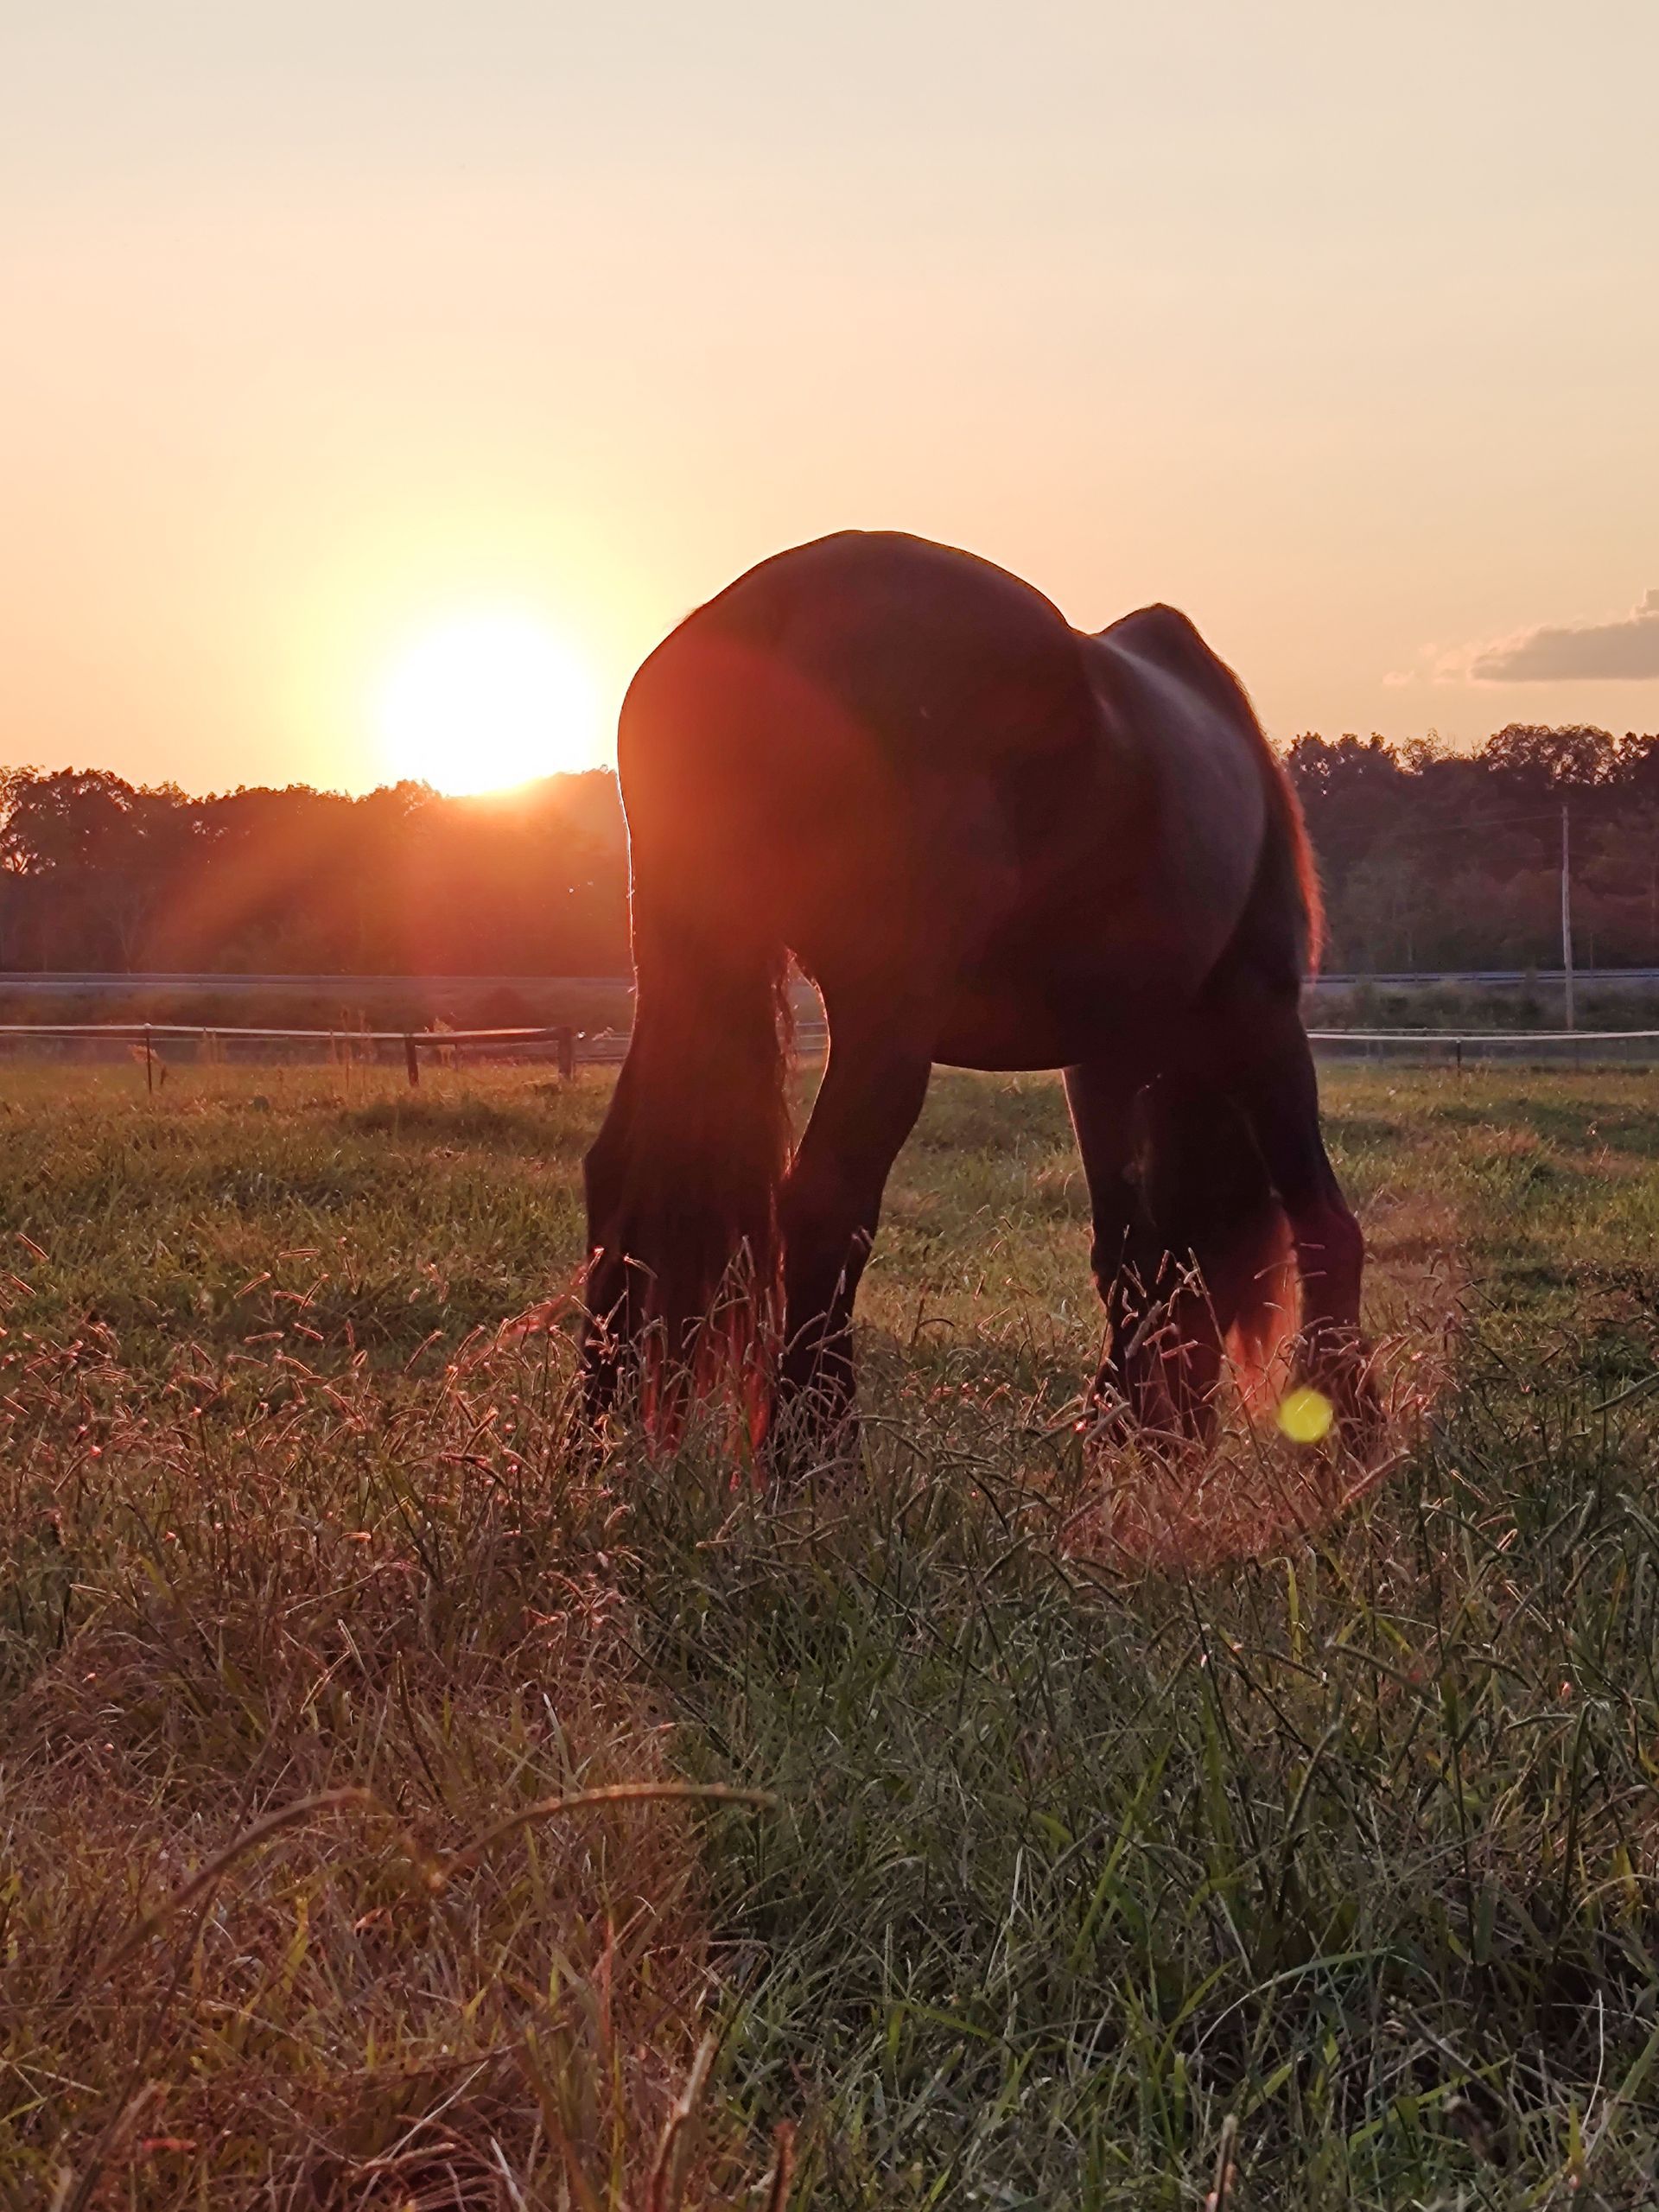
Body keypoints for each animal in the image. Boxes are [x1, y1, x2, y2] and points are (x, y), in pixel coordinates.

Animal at [581, 530, 1376, 1452]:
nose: (1176, 1442)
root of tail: (763, 611)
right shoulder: (1262, 1018)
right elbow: (1323, 1228)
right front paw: (1351, 1431)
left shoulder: (1101, 1061)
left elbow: (1129, 1255)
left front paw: (1112, 1428)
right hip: (885, 1019)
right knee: (823, 1204)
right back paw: (811, 1455)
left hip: (683, 967)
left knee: (622, 1178)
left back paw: (590, 1445)